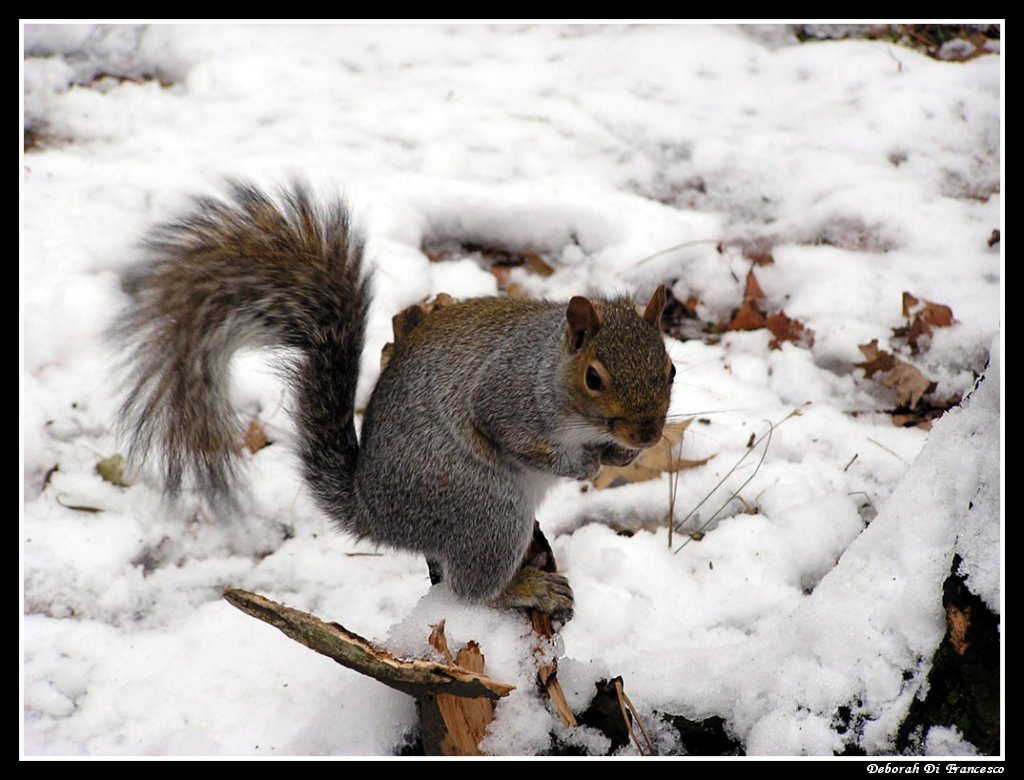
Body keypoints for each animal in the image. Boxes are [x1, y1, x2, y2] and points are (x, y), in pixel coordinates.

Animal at [117, 182, 675, 620]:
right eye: (594, 378)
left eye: (671, 369)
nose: (647, 435)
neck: (551, 370)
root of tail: (377, 515)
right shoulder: (507, 395)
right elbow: (511, 436)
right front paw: (580, 466)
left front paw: (619, 457)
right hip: (485, 505)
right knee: (471, 589)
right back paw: (526, 588)